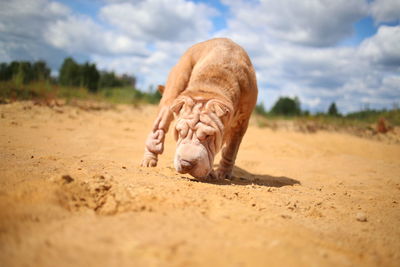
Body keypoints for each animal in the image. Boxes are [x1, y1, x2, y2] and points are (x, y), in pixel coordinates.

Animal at [141, 37, 260, 180]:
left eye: (208, 135)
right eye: (179, 132)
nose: (186, 164)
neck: (210, 88)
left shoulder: (242, 123)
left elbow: (231, 149)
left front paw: (224, 173)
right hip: (175, 85)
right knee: (159, 126)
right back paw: (149, 159)